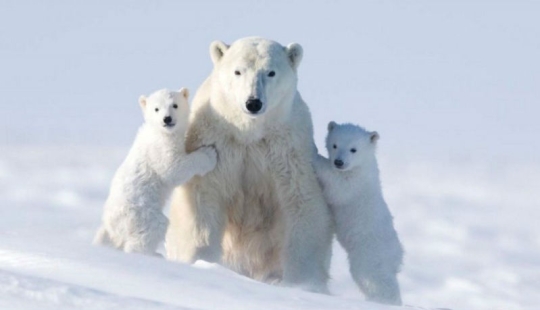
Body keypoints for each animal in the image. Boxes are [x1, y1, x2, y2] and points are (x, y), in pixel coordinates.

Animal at [94, 88, 216, 256]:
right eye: (156, 108)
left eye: (175, 105)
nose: (167, 119)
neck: (159, 132)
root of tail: (109, 225)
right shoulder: (159, 149)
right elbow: (173, 169)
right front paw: (209, 154)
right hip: (141, 214)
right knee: (152, 229)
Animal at [165, 37, 334, 292]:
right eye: (238, 71)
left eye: (271, 72)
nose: (253, 102)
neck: (248, 133)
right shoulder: (217, 143)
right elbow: (203, 199)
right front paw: (202, 261)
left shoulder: (286, 149)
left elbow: (301, 202)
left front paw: (303, 283)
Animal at [314, 121, 402, 306]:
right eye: (335, 145)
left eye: (353, 149)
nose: (339, 162)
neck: (363, 166)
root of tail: (397, 255)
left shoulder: (354, 182)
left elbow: (337, 187)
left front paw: (314, 154)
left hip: (369, 251)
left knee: (372, 276)